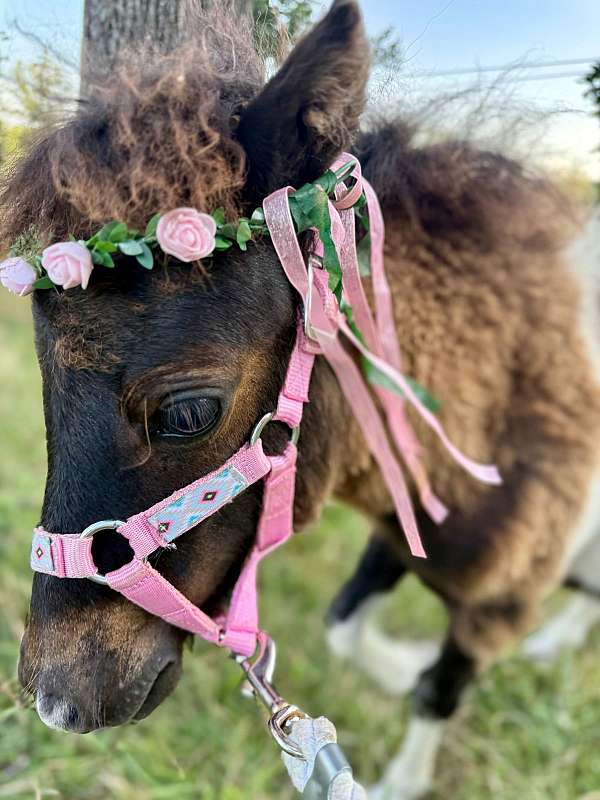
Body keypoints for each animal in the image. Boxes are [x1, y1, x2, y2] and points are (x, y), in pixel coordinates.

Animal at [4, 1, 600, 797]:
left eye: (187, 412)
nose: (57, 701)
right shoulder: (401, 530)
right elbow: (344, 626)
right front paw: (400, 664)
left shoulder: (497, 601)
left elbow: (436, 691)